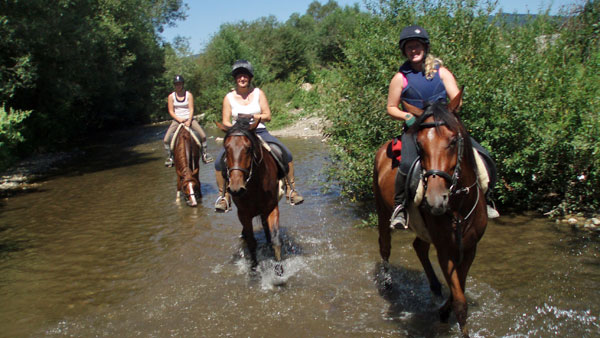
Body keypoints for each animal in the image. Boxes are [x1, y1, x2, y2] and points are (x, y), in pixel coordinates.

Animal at [216, 117, 284, 274]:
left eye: (248, 148)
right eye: (226, 148)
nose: (236, 189)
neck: (255, 185)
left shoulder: (272, 208)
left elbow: (275, 238)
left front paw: (279, 269)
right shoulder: (244, 214)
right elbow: (251, 242)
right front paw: (254, 267)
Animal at [376, 91, 488, 336]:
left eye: (453, 141)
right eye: (419, 144)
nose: (436, 200)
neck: (459, 206)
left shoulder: (470, 247)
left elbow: (459, 289)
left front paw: (444, 309)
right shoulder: (445, 250)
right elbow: (460, 301)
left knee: (419, 246)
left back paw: (436, 288)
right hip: (382, 211)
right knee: (385, 246)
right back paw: (388, 283)